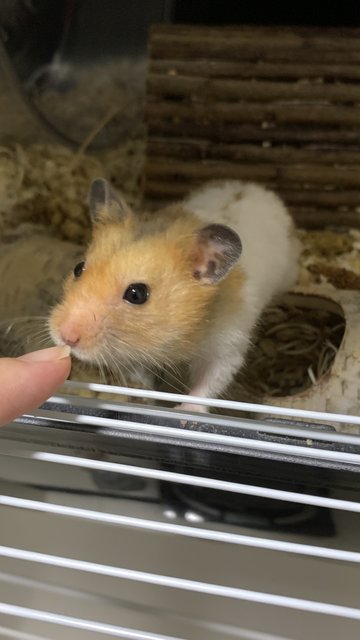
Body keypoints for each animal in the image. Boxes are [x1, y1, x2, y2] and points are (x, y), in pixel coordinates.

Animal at [49, 178, 300, 412]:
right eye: (78, 268)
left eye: (137, 294)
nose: (65, 336)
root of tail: (256, 188)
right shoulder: (130, 353)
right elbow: (140, 378)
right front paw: (144, 399)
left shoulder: (227, 346)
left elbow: (208, 384)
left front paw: (184, 413)